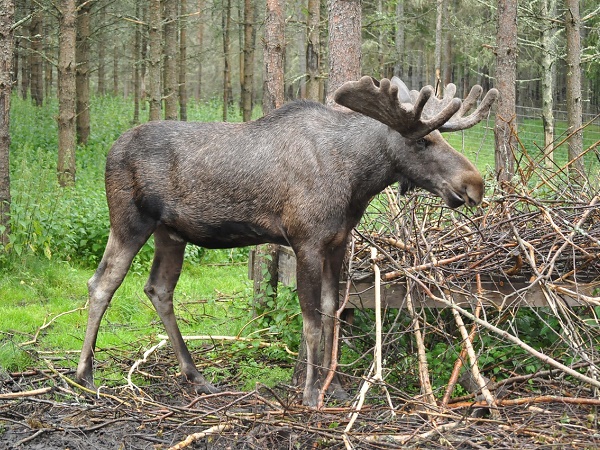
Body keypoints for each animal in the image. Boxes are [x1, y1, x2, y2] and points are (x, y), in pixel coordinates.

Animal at [75, 75, 496, 406]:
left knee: (158, 288)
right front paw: (310, 393)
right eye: (423, 142)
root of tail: (110, 151)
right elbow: (310, 321)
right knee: (102, 283)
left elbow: (333, 310)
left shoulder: (337, 241)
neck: (357, 181)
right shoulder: (305, 240)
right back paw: (85, 375)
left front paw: (335, 387)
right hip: (130, 221)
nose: (474, 184)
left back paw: (195, 375)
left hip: (171, 233)